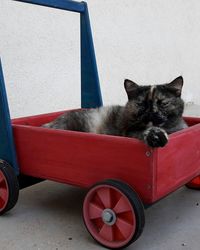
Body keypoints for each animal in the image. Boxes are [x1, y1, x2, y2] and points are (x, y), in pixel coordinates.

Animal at [42, 75, 188, 146]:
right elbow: (145, 131)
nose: (151, 112)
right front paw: (156, 137)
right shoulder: (130, 131)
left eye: (163, 103)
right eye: (141, 104)